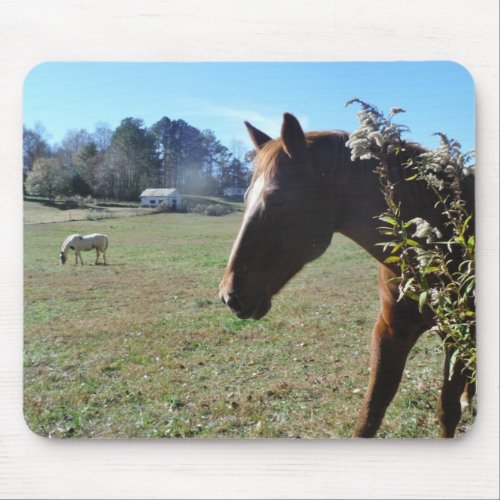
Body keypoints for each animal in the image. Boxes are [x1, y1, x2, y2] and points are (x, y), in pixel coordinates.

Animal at [220, 113, 476, 438]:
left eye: (277, 199)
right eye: (244, 197)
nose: (229, 295)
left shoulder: (456, 333)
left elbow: (446, 411)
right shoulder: (391, 332)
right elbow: (369, 415)